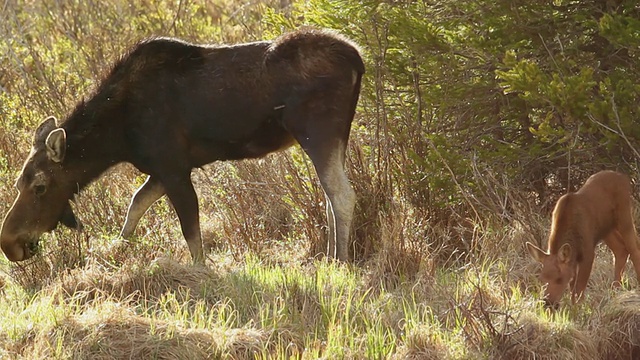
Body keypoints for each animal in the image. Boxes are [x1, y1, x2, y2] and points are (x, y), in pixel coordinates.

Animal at [0, 28, 364, 264]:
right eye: (18, 182)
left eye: (40, 186)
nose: (10, 243)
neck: (117, 136)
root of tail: (358, 58)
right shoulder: (162, 169)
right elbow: (135, 207)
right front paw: (115, 252)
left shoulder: (173, 167)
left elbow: (192, 235)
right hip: (336, 137)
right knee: (330, 197)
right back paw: (330, 257)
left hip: (317, 132)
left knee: (342, 195)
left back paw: (340, 263)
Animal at [528, 169, 640, 306]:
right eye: (541, 279)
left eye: (559, 279)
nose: (548, 302)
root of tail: (624, 178)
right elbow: (573, 286)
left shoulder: (587, 251)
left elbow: (579, 287)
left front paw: (579, 307)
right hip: (606, 229)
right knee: (621, 250)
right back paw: (615, 290)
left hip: (624, 216)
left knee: (634, 248)